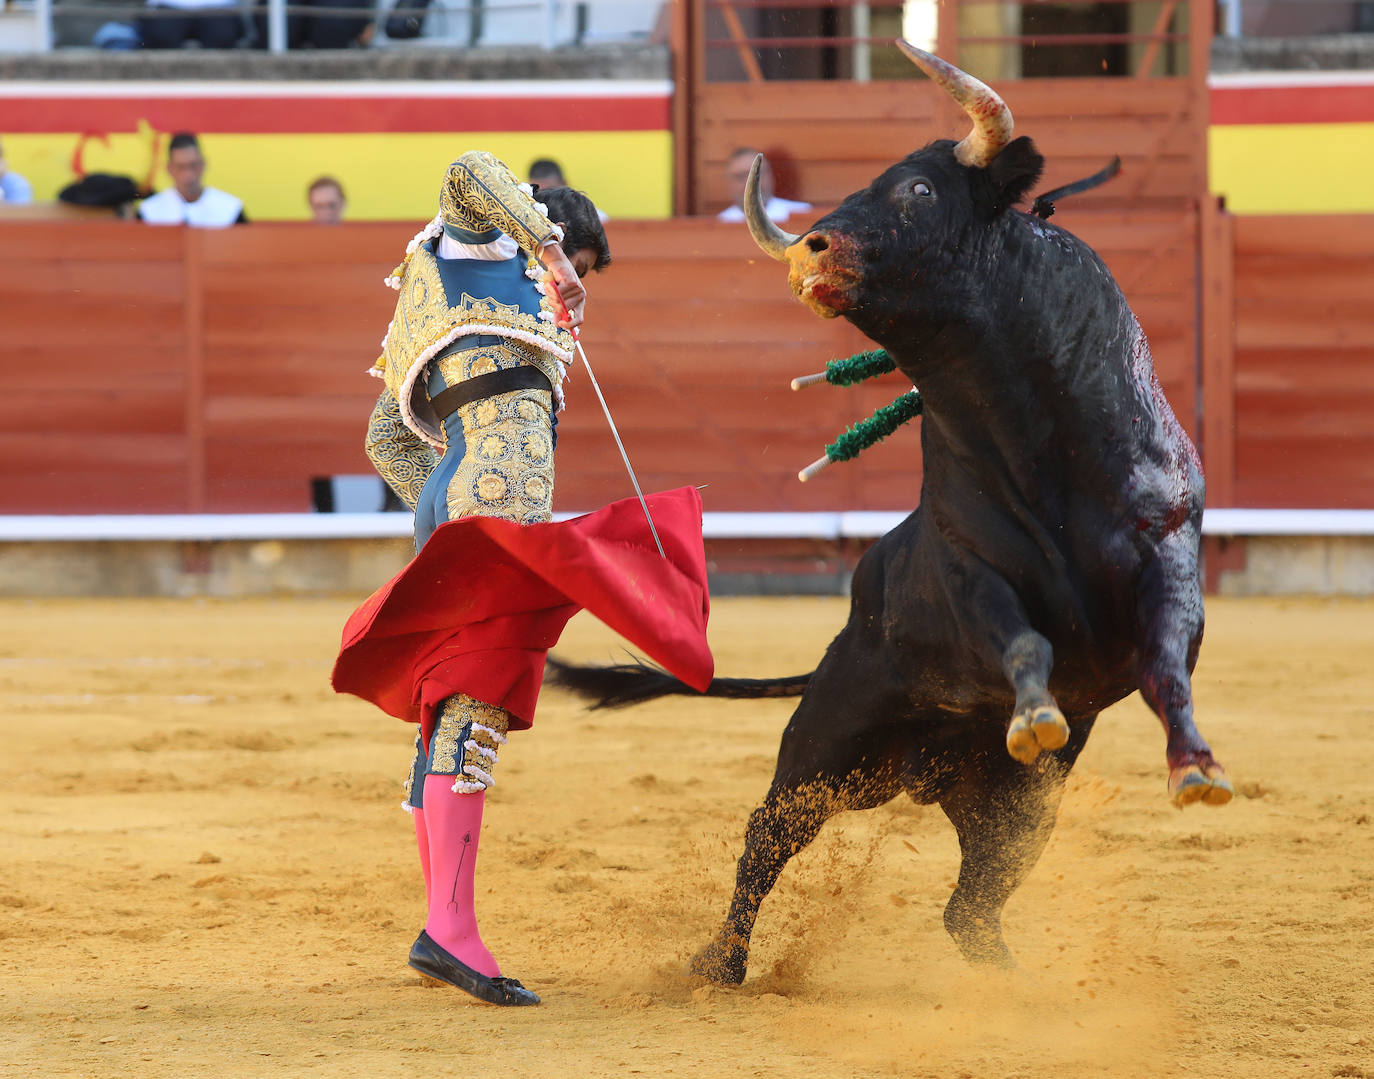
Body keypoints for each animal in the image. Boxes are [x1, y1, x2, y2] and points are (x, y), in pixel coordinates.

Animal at [546, 44, 1236, 978]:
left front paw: (1196, 769)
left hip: (1014, 811)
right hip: (824, 748)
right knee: (766, 838)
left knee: (970, 904)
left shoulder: (1168, 552)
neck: (1043, 448)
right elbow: (1023, 639)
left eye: (916, 188)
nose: (811, 246)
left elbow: (1168, 664)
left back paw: (1007, 981)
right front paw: (1036, 714)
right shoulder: (972, 576)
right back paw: (719, 962)